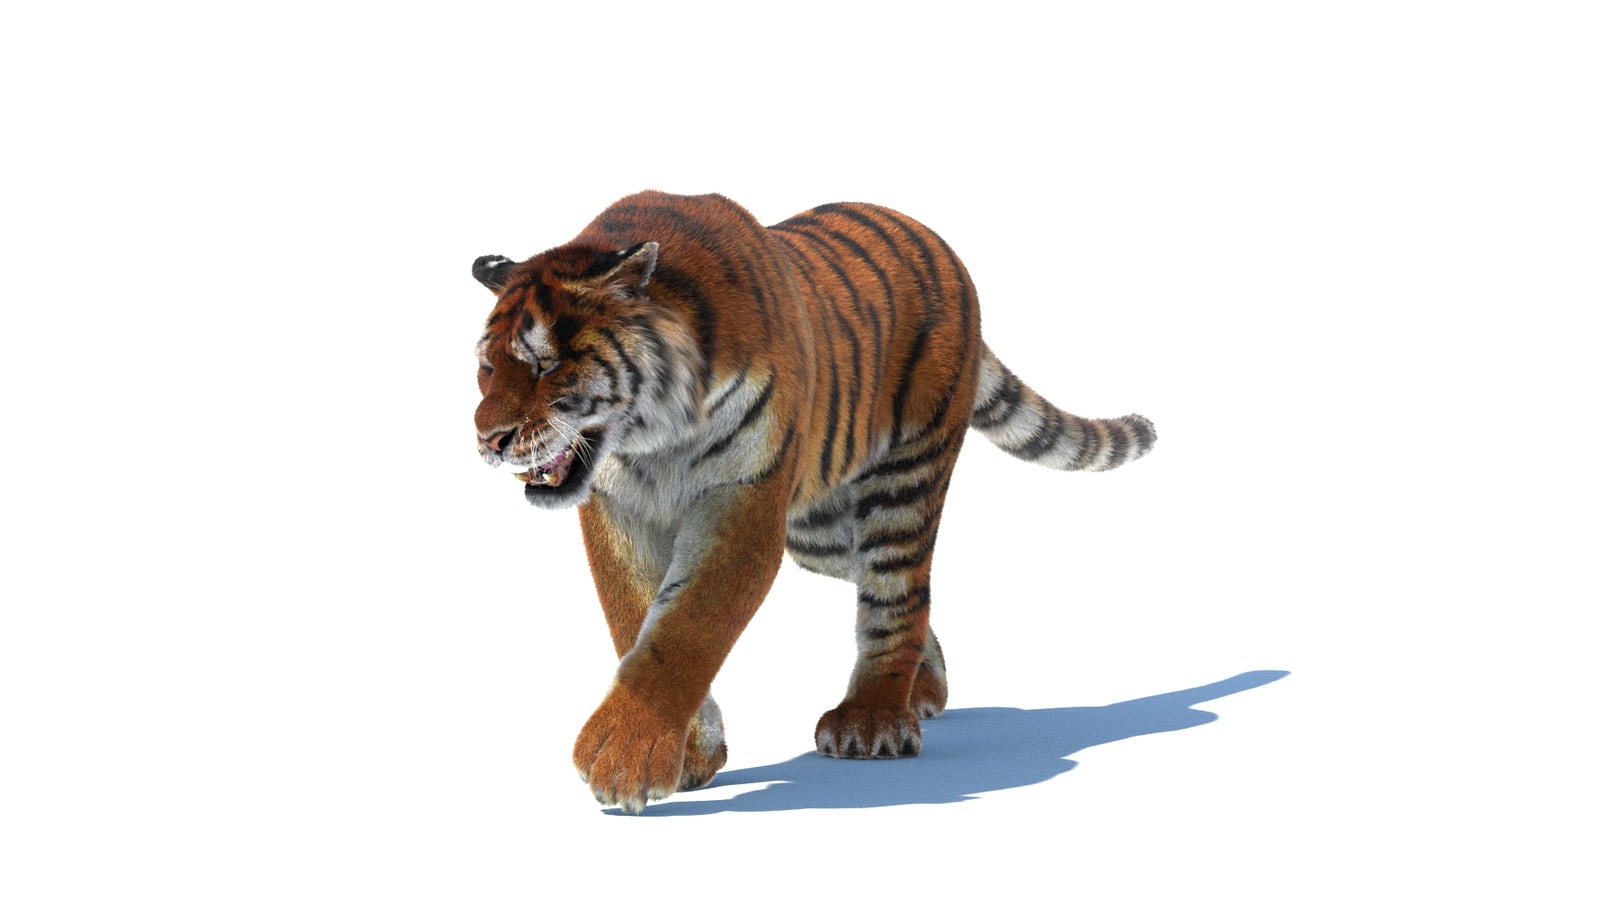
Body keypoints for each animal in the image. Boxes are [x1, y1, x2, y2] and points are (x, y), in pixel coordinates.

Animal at [471, 190, 1155, 814]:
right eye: (486, 367)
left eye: (545, 365)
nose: (488, 440)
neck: (654, 435)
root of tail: (938, 243)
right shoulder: (620, 505)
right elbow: (636, 615)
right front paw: (690, 754)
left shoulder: (745, 499)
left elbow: (687, 627)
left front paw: (623, 760)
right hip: (818, 527)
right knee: (898, 590)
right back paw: (925, 688)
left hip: (903, 479)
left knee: (897, 593)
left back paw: (874, 720)